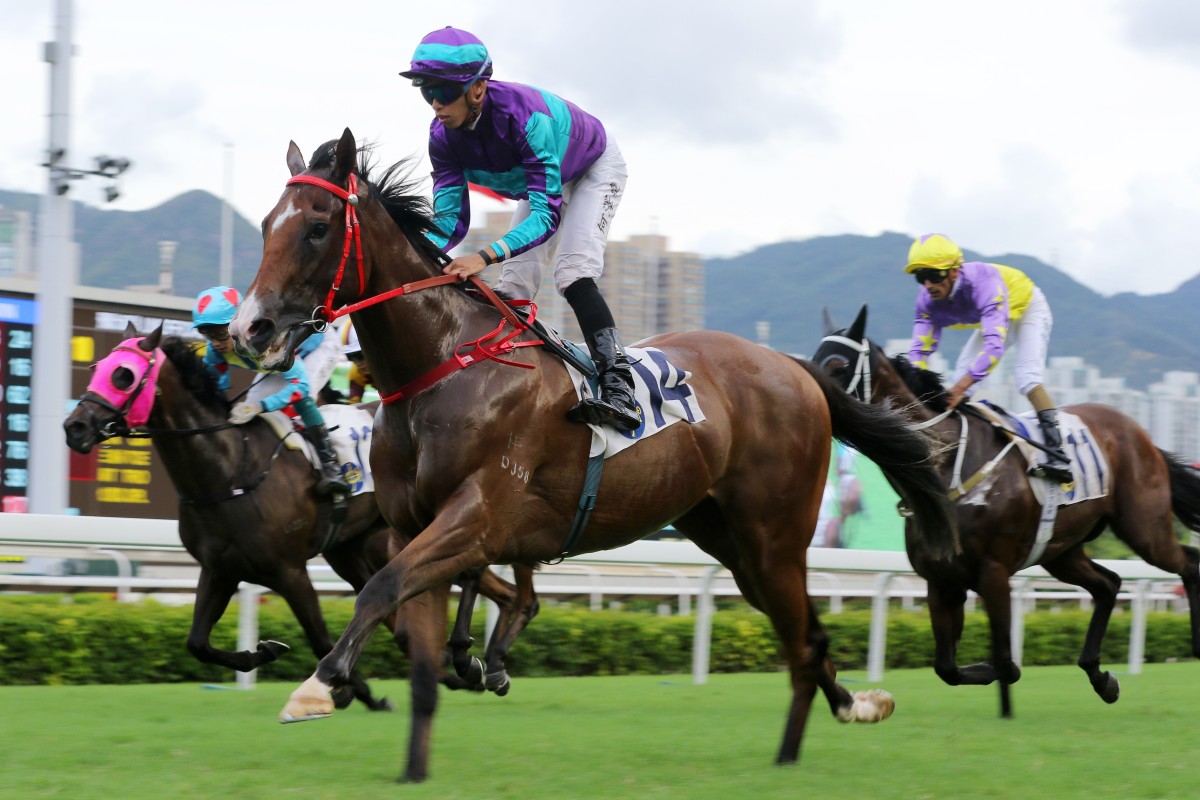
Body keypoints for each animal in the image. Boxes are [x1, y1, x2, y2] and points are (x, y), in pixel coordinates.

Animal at [59, 326, 540, 782]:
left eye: (124, 376)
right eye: (97, 367)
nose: (75, 427)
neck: (228, 468)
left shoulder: (288, 570)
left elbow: (320, 638)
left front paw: (347, 690)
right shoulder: (220, 569)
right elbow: (198, 643)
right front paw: (265, 653)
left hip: (417, 534)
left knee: (476, 579)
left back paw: (476, 659)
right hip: (356, 551)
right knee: (434, 609)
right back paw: (474, 664)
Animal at [223, 130, 955, 777]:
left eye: (318, 227)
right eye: (265, 225)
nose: (249, 329)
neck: (443, 363)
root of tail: (794, 367)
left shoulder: (477, 516)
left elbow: (381, 587)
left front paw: (319, 686)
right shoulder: (411, 525)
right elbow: (414, 639)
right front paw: (414, 760)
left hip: (775, 537)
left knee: (803, 640)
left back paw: (803, 745)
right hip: (730, 539)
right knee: (805, 637)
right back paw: (847, 711)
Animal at [811, 309, 1200, 719]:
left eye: (837, 365)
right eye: (813, 357)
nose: (811, 398)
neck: (949, 465)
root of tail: (1143, 436)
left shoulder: (993, 573)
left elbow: (1003, 660)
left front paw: (1002, 682)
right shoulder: (941, 580)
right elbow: (947, 667)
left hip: (1144, 528)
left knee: (1188, 563)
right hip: (1062, 550)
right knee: (1108, 585)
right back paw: (1100, 677)